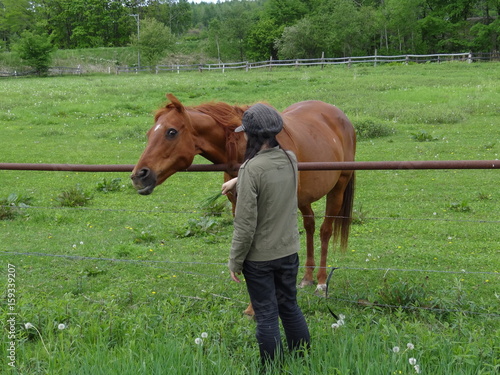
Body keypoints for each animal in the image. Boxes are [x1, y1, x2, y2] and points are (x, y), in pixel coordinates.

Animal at [131, 94, 354, 300]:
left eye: (171, 132)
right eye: (149, 133)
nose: (138, 175)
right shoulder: (239, 205)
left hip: (337, 189)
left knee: (325, 231)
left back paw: (322, 282)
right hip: (304, 199)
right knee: (310, 226)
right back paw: (307, 278)